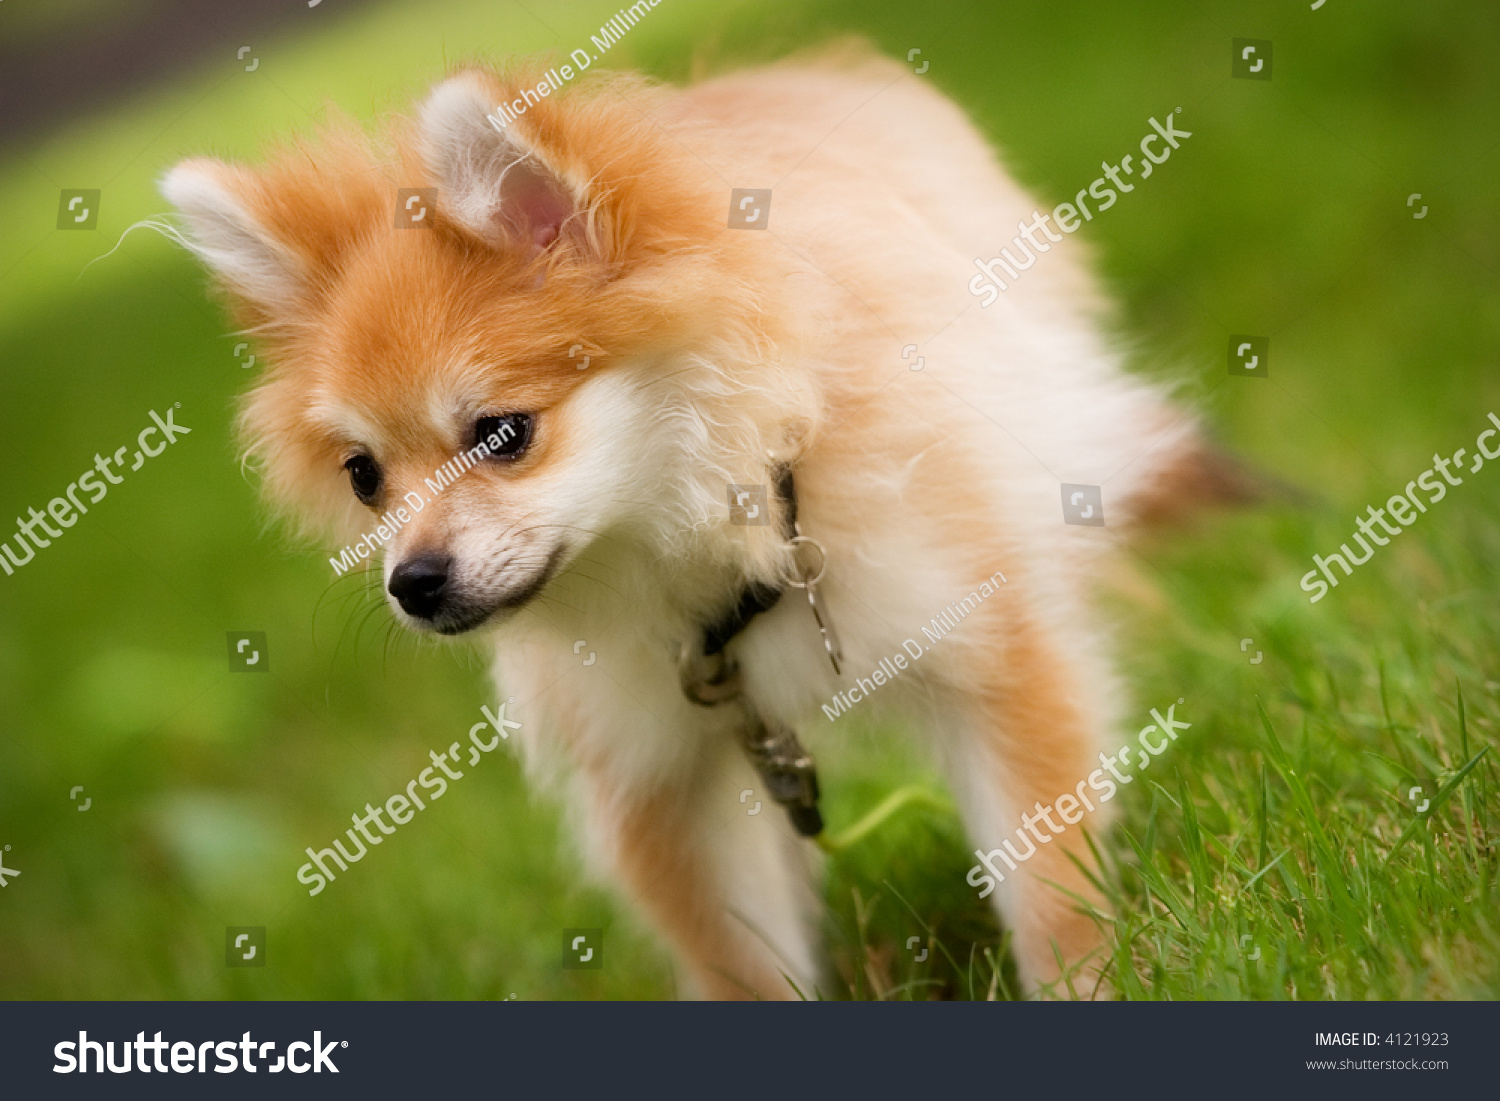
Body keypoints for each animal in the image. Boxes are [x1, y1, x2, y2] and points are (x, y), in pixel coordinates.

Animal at [164, 49, 1218, 1002]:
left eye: (502, 434)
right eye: (364, 476)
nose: (411, 582)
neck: (713, 541)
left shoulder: (985, 644)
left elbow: (1045, 881)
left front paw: (1085, 984)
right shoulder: (657, 776)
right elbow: (741, 959)